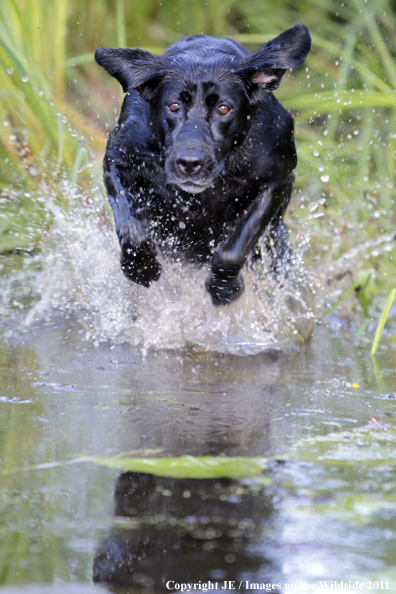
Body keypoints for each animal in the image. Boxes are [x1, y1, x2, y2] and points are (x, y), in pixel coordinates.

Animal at [94, 23, 310, 302]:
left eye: (224, 108)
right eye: (174, 105)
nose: (189, 163)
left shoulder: (277, 179)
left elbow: (236, 246)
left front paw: (224, 289)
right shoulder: (118, 159)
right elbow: (131, 229)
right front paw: (141, 269)